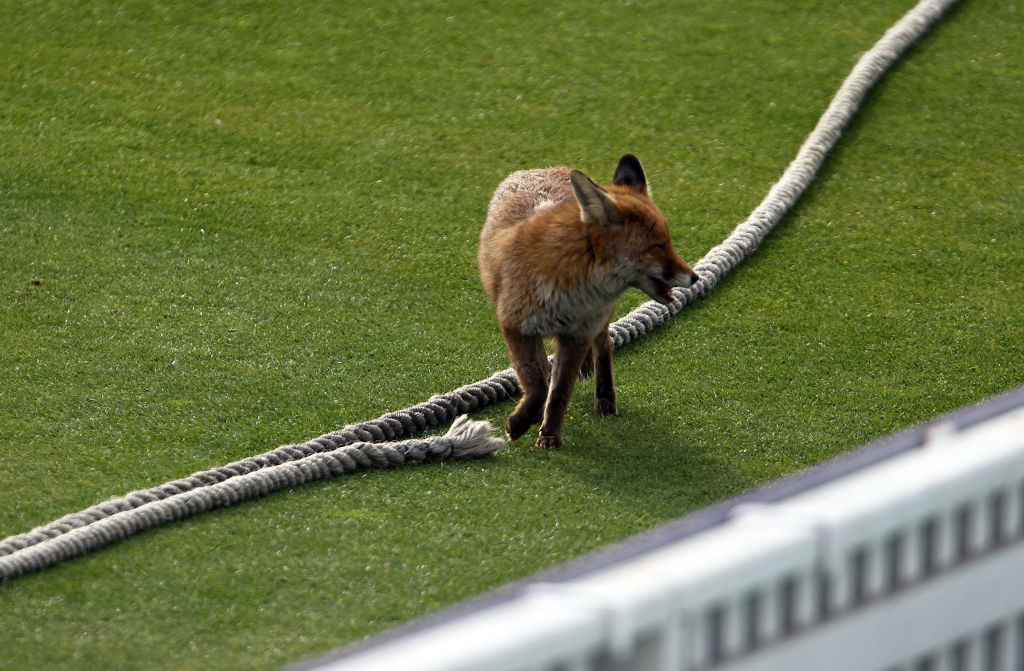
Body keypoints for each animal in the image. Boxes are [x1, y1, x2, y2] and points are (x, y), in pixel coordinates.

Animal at [478, 154, 700, 449]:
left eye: (669, 244)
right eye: (659, 246)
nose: (695, 277)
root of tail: (545, 168)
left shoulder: (577, 334)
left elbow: (559, 392)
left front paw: (550, 434)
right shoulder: (516, 326)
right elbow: (538, 385)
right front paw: (522, 421)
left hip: (598, 322)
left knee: (603, 347)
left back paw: (605, 398)